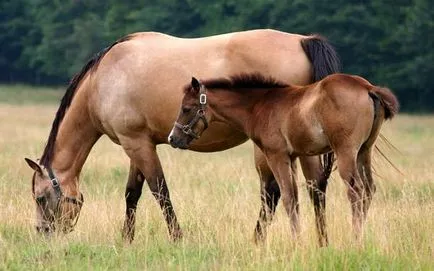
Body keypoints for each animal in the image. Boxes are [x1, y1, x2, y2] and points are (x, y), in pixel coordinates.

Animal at [168, 73, 398, 243]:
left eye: (186, 109)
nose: (173, 138)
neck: (260, 106)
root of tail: (367, 88)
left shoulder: (276, 155)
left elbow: (288, 197)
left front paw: (297, 242)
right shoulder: (293, 156)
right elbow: (295, 197)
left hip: (346, 152)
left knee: (356, 190)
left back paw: (355, 239)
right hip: (364, 151)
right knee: (369, 189)